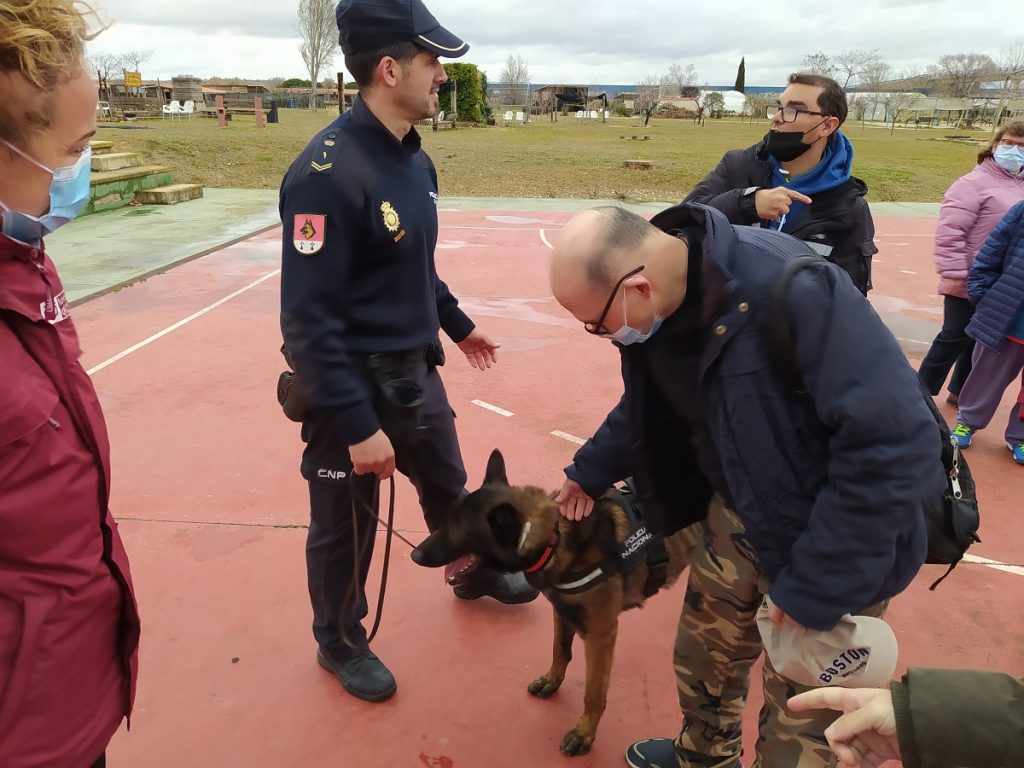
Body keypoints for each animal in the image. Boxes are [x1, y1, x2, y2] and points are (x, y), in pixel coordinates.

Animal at [411, 450, 700, 757]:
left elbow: (593, 694)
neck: (555, 538)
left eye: (458, 531)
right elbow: (560, 651)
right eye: (445, 522)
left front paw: (584, 734)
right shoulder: (561, 612)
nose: (415, 554)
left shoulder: (600, 636)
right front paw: (552, 682)